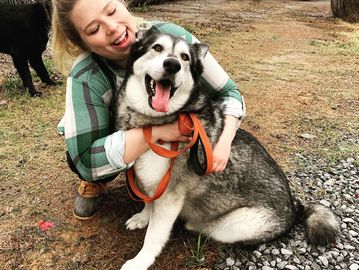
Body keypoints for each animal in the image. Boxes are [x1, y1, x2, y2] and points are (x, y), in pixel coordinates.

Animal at [115, 30, 340, 268]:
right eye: (157, 48)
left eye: (184, 57)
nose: (172, 65)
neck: (157, 122)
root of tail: (295, 208)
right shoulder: (151, 183)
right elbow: (148, 203)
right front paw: (142, 217)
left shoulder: (169, 196)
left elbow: (153, 235)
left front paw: (140, 261)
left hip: (235, 225)